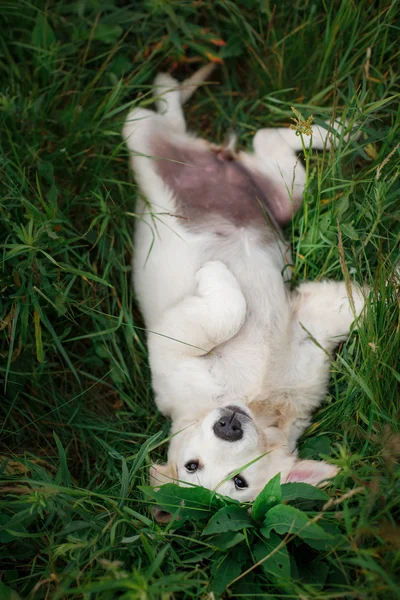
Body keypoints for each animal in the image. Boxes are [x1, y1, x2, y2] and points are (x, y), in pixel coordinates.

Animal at [122, 64, 366, 506]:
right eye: (193, 467)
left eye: (239, 481)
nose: (229, 426)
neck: (252, 397)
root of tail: (218, 161)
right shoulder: (174, 348)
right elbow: (229, 308)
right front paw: (215, 271)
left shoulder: (309, 332)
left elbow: (368, 301)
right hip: (142, 135)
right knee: (167, 120)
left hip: (286, 194)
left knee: (264, 136)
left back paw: (341, 129)